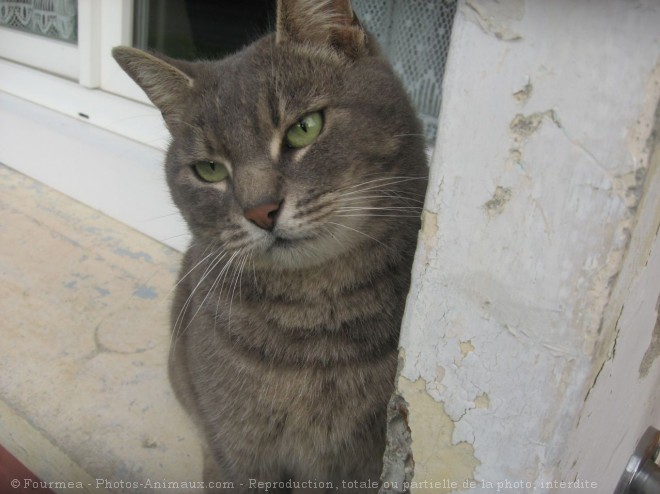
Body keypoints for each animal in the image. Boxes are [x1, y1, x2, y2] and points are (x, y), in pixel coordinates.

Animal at [113, 0, 428, 492]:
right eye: (208, 169)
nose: (260, 211)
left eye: (304, 127)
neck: (312, 327)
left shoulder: (363, 463)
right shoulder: (240, 455)